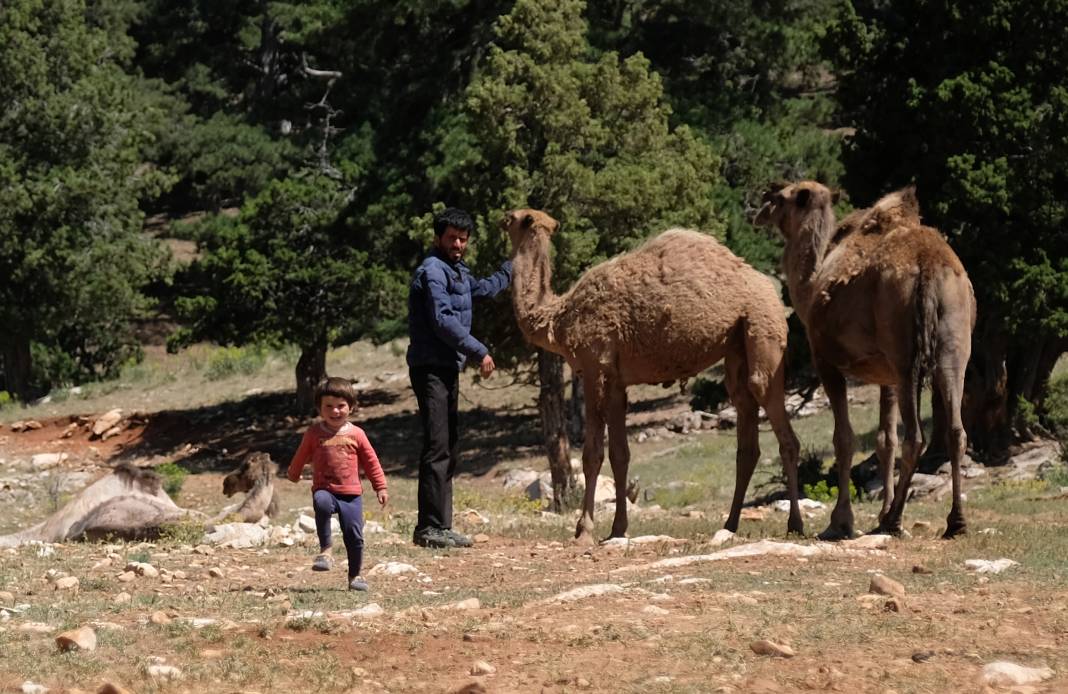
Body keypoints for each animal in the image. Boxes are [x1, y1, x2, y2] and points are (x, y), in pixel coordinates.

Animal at [499, 208, 803, 542]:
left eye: (512, 218)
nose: (501, 220)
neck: (560, 317)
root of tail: (770, 289)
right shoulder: (616, 381)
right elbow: (620, 455)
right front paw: (618, 529)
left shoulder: (595, 368)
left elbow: (592, 454)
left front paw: (584, 530)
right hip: (737, 346)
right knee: (746, 433)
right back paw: (729, 524)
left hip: (763, 327)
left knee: (784, 432)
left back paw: (795, 524)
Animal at [751, 181, 978, 538]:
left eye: (779, 197)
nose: (758, 210)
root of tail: (929, 266)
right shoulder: (885, 376)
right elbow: (885, 440)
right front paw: (877, 509)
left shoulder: (826, 361)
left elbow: (844, 439)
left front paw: (841, 521)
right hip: (953, 342)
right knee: (956, 430)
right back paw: (955, 522)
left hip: (904, 350)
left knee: (915, 436)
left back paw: (894, 520)